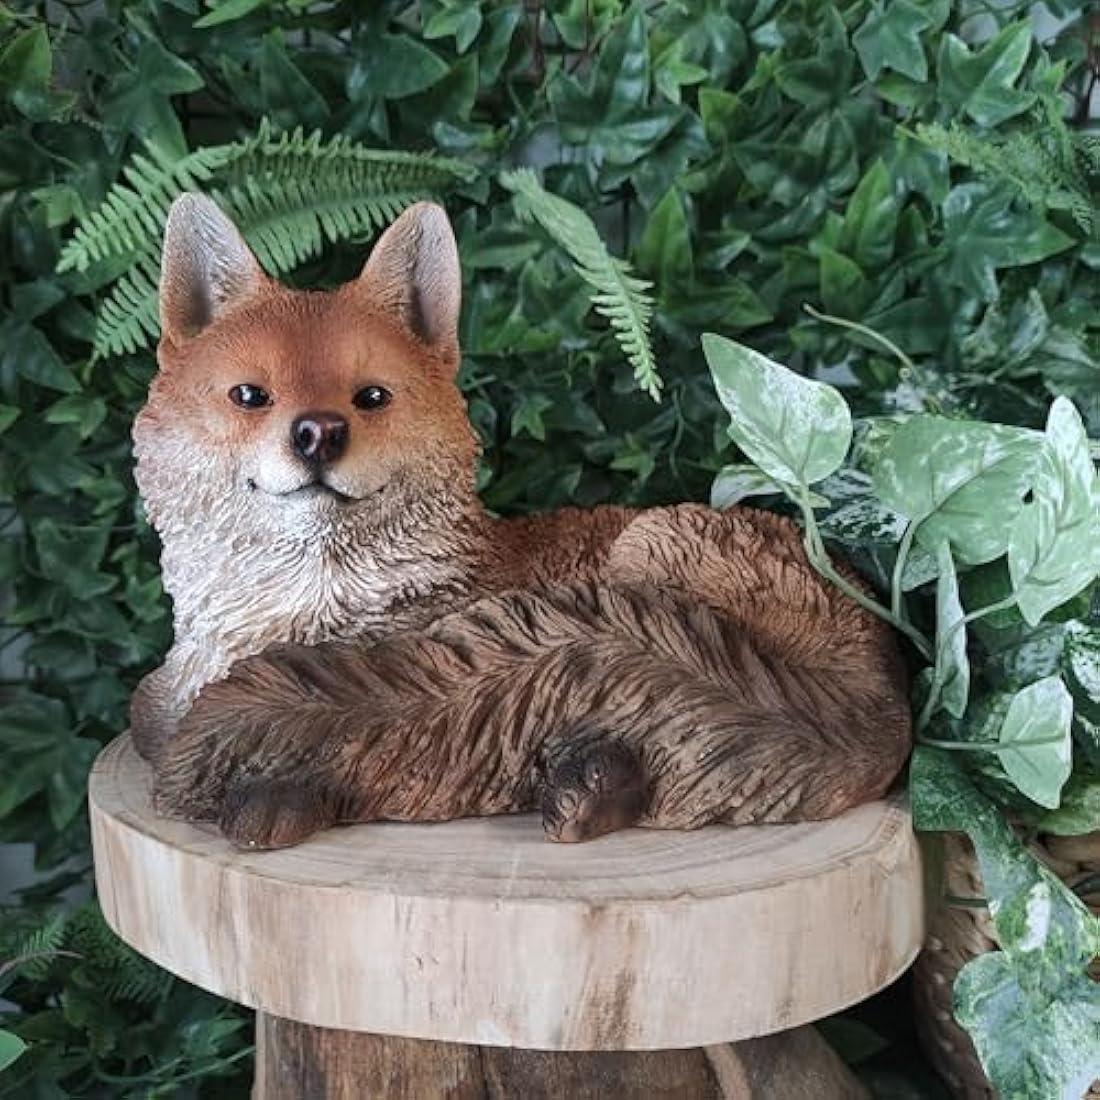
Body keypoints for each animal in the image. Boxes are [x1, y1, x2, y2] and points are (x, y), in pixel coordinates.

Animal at [131, 194, 911, 850]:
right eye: (250, 395)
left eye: (372, 397)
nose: (318, 433)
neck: (304, 612)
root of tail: (884, 676)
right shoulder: (166, 700)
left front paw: (279, 799)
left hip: (649, 545)